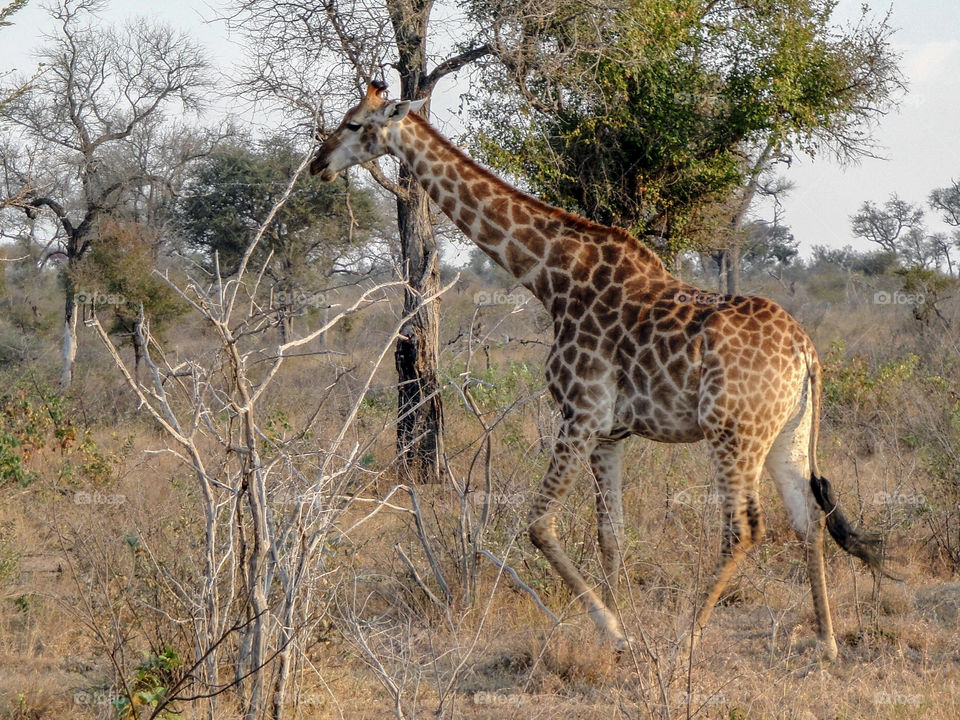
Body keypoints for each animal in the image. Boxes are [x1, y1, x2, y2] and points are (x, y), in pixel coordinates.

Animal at [312, 83, 888, 660]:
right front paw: (621, 629)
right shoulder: (611, 433)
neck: (551, 279)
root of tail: (804, 351)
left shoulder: (581, 415)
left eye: (355, 124)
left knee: (744, 528)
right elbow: (609, 533)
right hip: (787, 433)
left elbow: (539, 524)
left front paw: (611, 627)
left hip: (732, 432)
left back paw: (687, 641)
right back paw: (826, 642)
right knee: (808, 519)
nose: (318, 164)